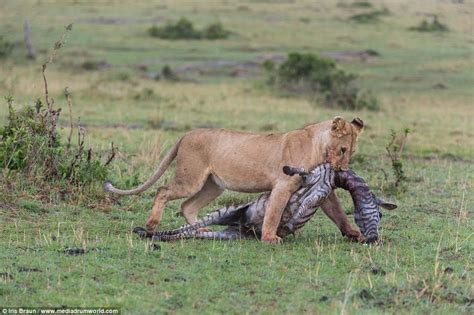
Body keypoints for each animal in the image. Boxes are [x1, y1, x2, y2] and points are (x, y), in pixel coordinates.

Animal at [133, 163, 396, 244]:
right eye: (361, 214)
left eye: (381, 216)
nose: (373, 239)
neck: (333, 176)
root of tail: (241, 226)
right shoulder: (312, 177)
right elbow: (299, 175)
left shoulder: (323, 189)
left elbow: (318, 202)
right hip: (226, 211)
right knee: (189, 226)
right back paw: (146, 231)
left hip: (227, 235)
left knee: (191, 233)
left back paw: (151, 234)